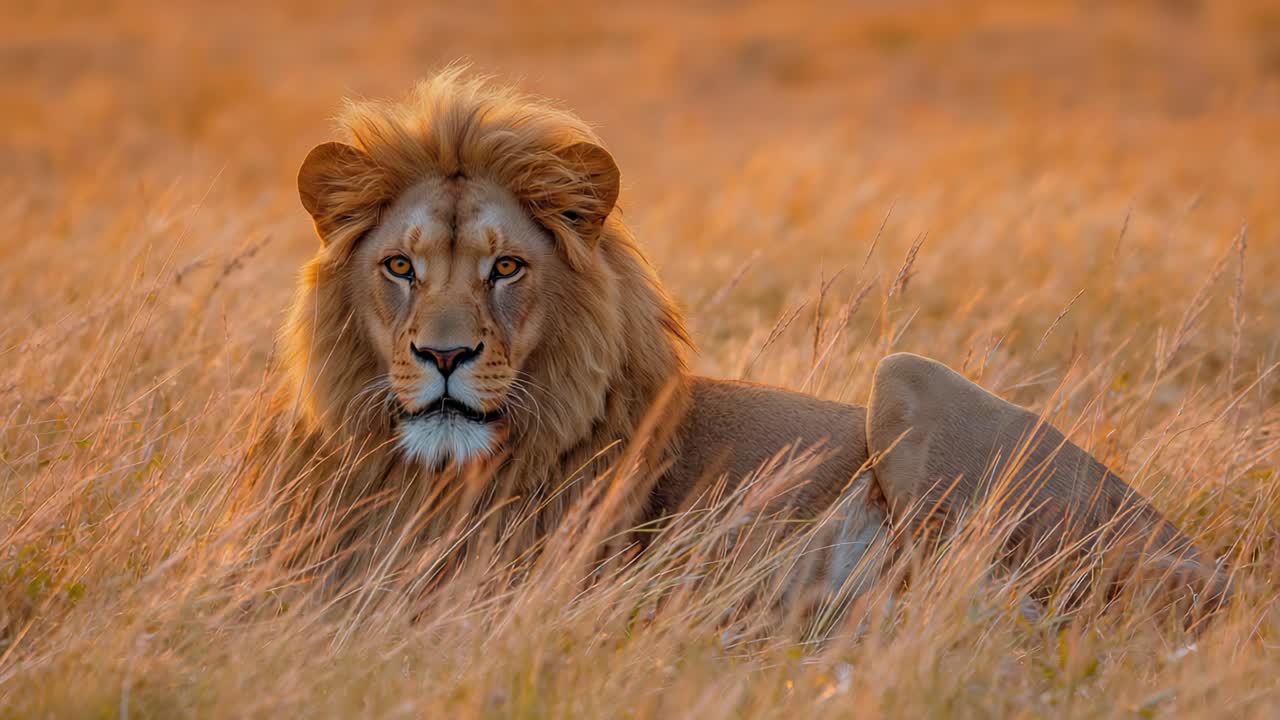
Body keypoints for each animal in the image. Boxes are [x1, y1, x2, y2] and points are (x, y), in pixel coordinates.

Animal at [263, 68, 1229, 621]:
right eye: (400, 267)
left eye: (507, 267)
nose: (445, 358)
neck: (430, 477)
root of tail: (1209, 566)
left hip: (908, 380)